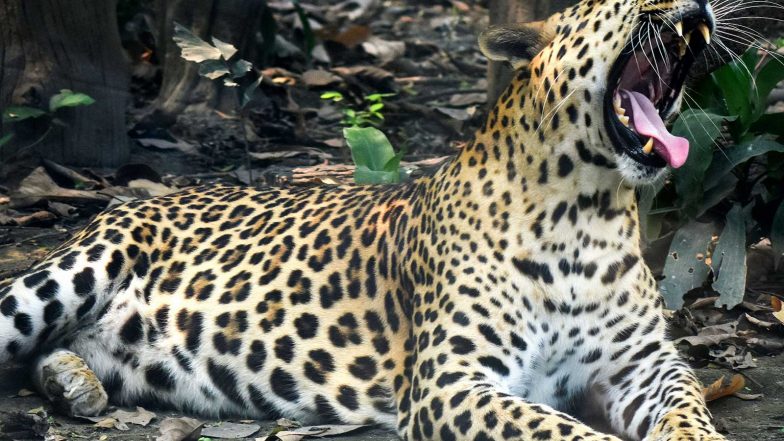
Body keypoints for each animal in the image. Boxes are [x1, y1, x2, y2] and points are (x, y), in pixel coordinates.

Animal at [0, 0, 730, 439]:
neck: (587, 213)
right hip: (67, 275)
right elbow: (561, 431)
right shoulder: (452, 379)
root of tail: (131, 201)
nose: (698, 5)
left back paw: (73, 381)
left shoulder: (641, 364)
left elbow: (689, 407)